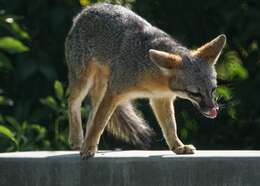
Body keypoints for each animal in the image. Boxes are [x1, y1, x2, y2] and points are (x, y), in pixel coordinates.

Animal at [65, 2, 225, 158]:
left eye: (213, 90)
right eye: (195, 93)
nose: (213, 109)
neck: (156, 81)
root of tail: (89, 8)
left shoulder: (161, 99)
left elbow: (170, 127)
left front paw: (178, 146)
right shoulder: (113, 92)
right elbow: (99, 123)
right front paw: (88, 149)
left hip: (99, 90)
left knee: (92, 114)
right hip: (83, 81)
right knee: (73, 102)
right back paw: (78, 140)